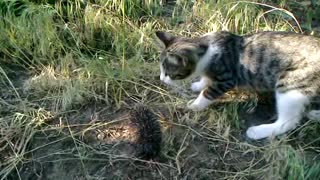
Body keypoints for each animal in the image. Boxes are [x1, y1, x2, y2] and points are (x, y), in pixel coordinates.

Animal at [156, 30, 320, 141]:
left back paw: (258, 131)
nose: (161, 79)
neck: (207, 49)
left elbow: (208, 92)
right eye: (161, 70)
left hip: (291, 86)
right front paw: (198, 85)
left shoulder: (227, 79)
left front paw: (195, 105)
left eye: (168, 73)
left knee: (290, 121)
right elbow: (206, 80)